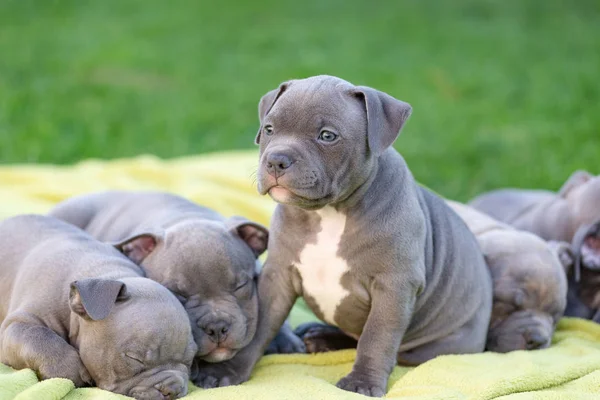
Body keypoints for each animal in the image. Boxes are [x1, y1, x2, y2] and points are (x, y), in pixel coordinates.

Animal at [191, 76, 492, 396]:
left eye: (327, 136)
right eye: (270, 129)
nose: (276, 160)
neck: (329, 213)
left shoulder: (394, 286)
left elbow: (377, 337)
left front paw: (362, 382)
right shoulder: (278, 276)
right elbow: (258, 327)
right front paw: (227, 370)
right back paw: (319, 336)